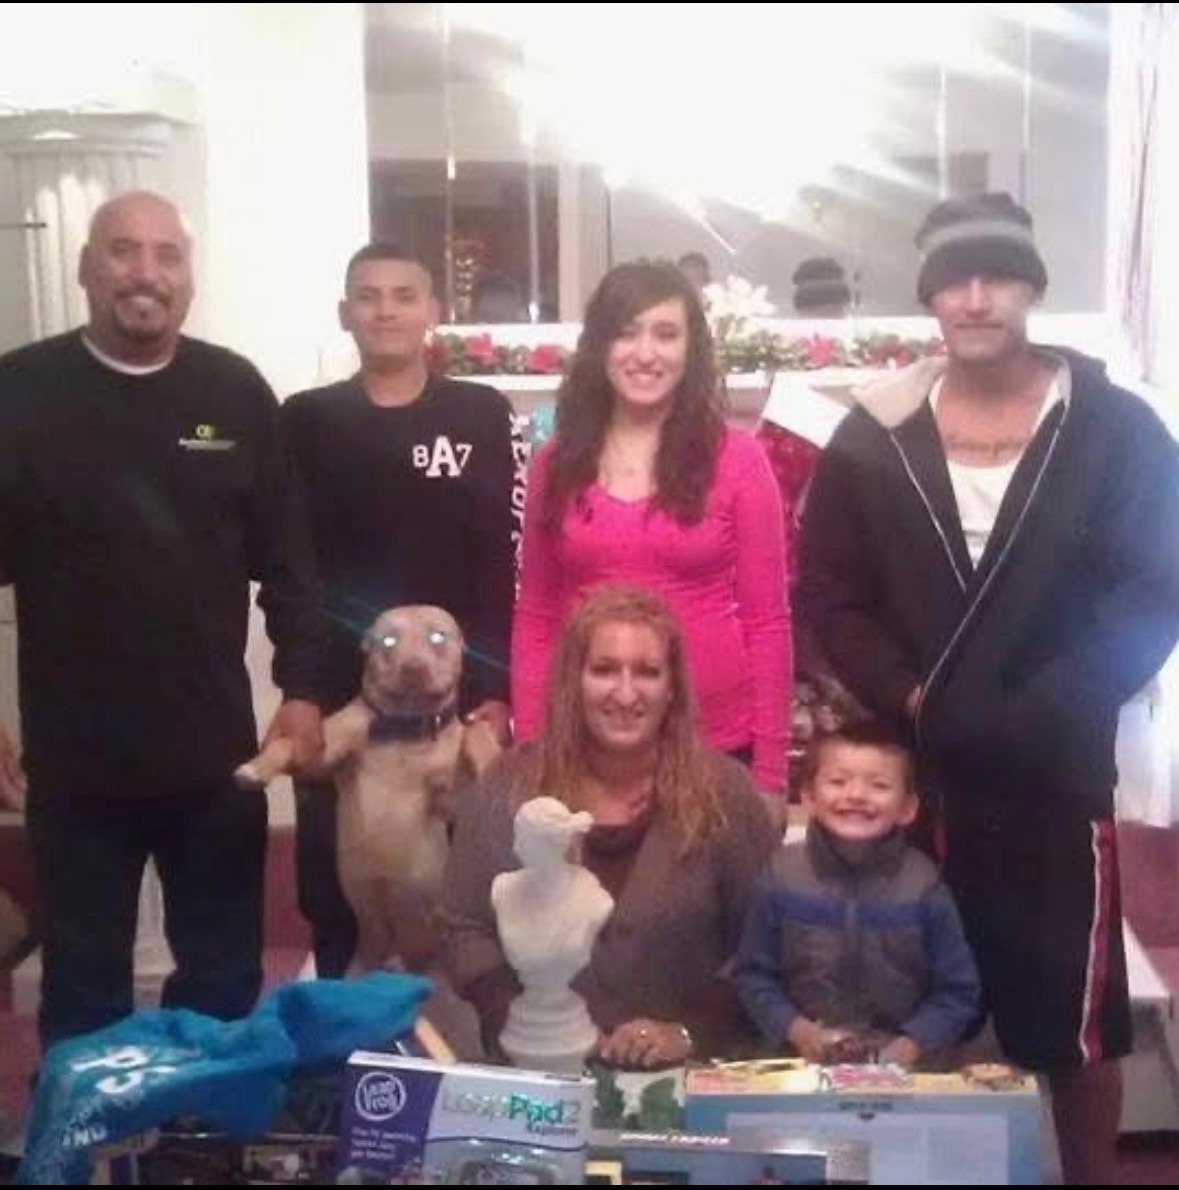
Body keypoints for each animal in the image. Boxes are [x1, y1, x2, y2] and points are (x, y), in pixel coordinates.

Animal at [237, 605, 500, 974]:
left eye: (438, 637)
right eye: (387, 641)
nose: (413, 667)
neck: (404, 732)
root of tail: (400, 959)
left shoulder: (453, 799)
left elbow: (477, 733)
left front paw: (491, 754)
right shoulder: (321, 756)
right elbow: (287, 744)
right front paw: (256, 767)